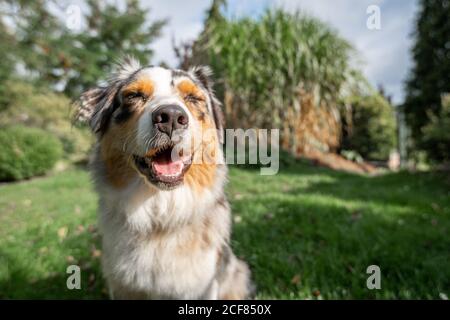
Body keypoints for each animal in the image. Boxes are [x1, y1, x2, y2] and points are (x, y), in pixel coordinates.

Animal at [76, 56, 255, 298]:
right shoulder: (123, 286)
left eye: (193, 98)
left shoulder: (204, 285)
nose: (170, 117)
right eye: (134, 95)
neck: (160, 215)